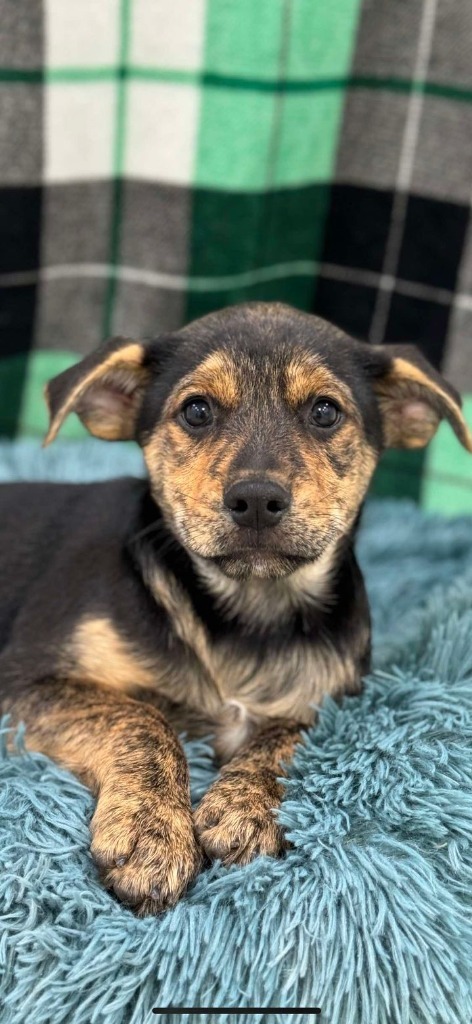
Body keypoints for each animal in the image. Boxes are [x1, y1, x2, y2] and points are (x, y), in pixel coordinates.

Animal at [1, 299, 468, 917]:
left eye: (325, 411)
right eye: (196, 411)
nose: (256, 499)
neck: (248, 613)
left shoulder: (334, 693)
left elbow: (289, 733)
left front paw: (244, 803)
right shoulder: (24, 680)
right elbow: (140, 716)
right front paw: (152, 834)